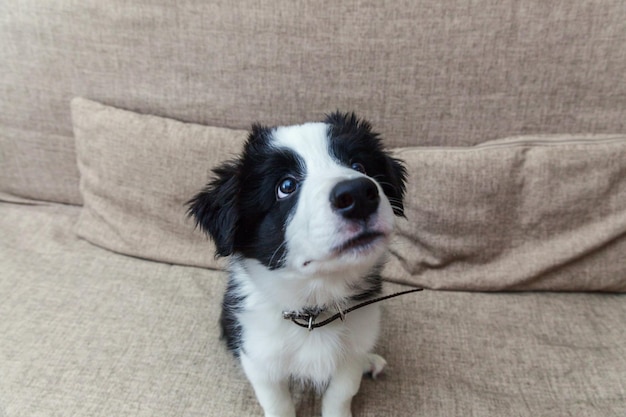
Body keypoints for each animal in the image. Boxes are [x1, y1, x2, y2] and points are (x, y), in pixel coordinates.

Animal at [188, 111, 408, 416]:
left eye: (358, 165)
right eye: (286, 186)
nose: (358, 194)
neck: (315, 306)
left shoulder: (351, 352)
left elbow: (341, 393)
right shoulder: (260, 358)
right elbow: (277, 402)